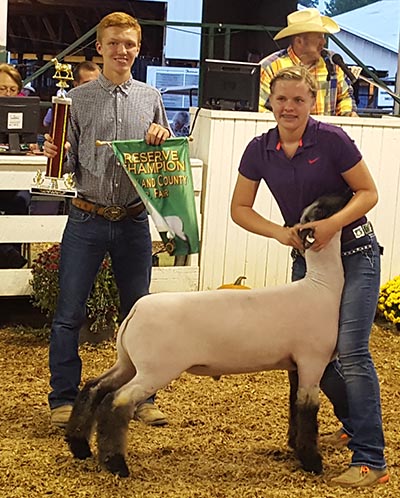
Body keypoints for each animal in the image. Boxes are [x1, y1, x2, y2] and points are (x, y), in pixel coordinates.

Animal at [64, 192, 348, 478]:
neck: (321, 286)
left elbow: (294, 406)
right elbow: (307, 410)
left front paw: (295, 448)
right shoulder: (312, 360)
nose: (346, 194)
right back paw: (116, 464)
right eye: (322, 209)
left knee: (94, 387)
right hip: (155, 369)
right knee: (117, 400)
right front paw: (313, 462)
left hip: (128, 363)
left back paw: (80, 446)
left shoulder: (295, 364)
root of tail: (136, 310)